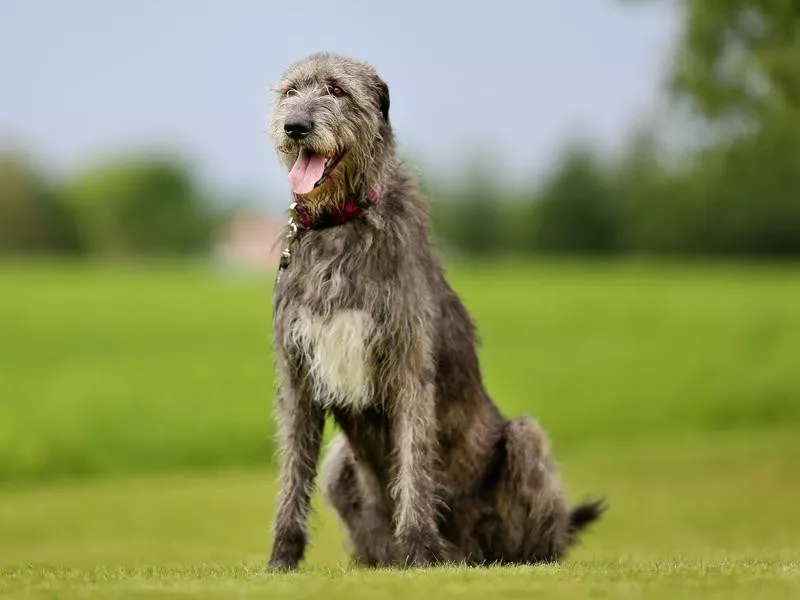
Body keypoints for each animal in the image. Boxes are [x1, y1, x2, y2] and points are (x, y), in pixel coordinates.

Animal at [266, 52, 604, 572]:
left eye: (337, 90)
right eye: (289, 92)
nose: (295, 126)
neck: (340, 223)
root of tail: (469, 552)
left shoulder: (408, 366)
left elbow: (413, 463)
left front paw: (420, 552)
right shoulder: (297, 373)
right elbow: (291, 475)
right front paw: (281, 561)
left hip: (524, 442)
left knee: (537, 532)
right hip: (340, 465)